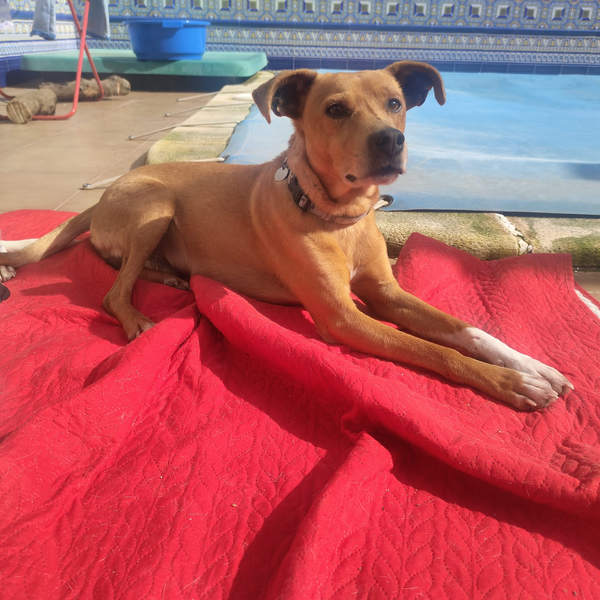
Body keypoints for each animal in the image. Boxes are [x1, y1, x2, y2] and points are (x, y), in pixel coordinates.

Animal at [0, 61, 573, 410]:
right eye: (336, 109)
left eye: (395, 103)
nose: (392, 140)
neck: (337, 218)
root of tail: (102, 197)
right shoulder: (344, 318)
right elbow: (434, 351)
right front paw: (513, 384)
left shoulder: (387, 294)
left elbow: (465, 330)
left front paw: (531, 365)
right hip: (155, 207)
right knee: (113, 286)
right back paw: (140, 315)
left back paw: (174, 277)